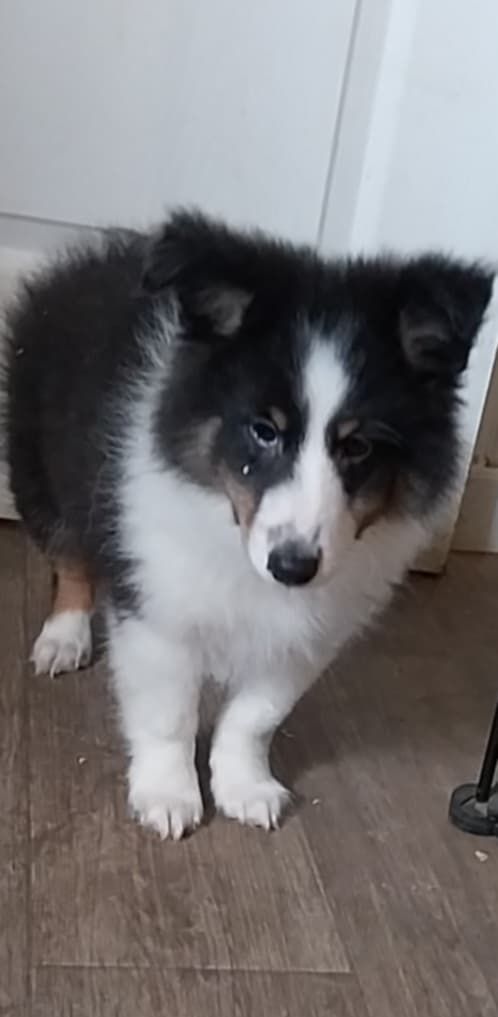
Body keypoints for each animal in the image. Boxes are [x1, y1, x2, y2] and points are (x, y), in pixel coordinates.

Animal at [3, 210, 493, 838]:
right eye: (264, 430)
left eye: (358, 446)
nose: (292, 567)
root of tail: (85, 259)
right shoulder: (158, 609)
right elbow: (169, 712)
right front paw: (168, 796)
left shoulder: (309, 635)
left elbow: (255, 716)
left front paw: (245, 787)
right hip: (38, 464)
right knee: (69, 556)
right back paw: (63, 638)